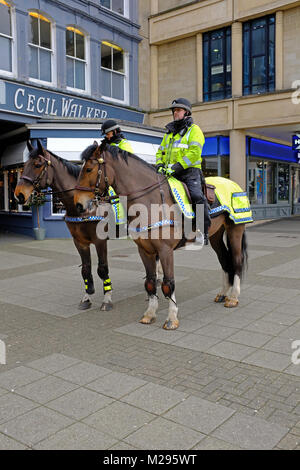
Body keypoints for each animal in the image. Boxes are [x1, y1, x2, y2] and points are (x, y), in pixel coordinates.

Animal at [13, 141, 113, 314]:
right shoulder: (80, 242)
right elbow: (85, 269)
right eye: (24, 165)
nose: (18, 194)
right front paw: (87, 297)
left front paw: (107, 299)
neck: (85, 206)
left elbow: (102, 268)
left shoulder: (100, 241)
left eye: (37, 164)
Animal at [74, 143, 248, 330]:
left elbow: (168, 284)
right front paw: (149, 314)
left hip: (235, 230)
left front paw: (172, 318)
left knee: (236, 260)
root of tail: (233, 184)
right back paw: (223, 293)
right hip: (216, 236)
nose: (78, 204)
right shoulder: (145, 251)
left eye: (89, 169)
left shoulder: (165, 251)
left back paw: (233, 297)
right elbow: (150, 282)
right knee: (224, 260)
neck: (150, 201)